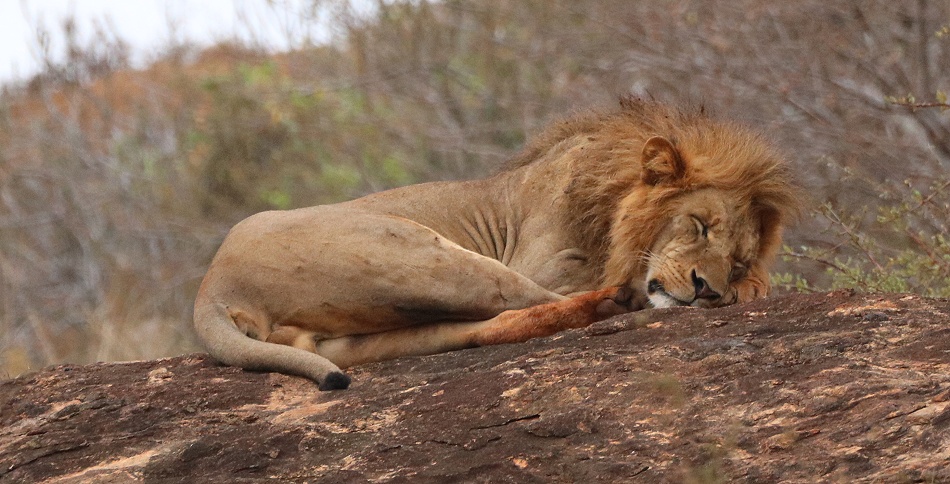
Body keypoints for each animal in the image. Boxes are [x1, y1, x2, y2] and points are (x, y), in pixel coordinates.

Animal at [193, 98, 801, 390]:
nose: (706, 289)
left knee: (492, 326)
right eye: (699, 225)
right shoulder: (544, 262)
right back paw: (620, 304)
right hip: (417, 251)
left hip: (356, 334)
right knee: (538, 301)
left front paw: (751, 289)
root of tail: (213, 285)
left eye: (736, 260)